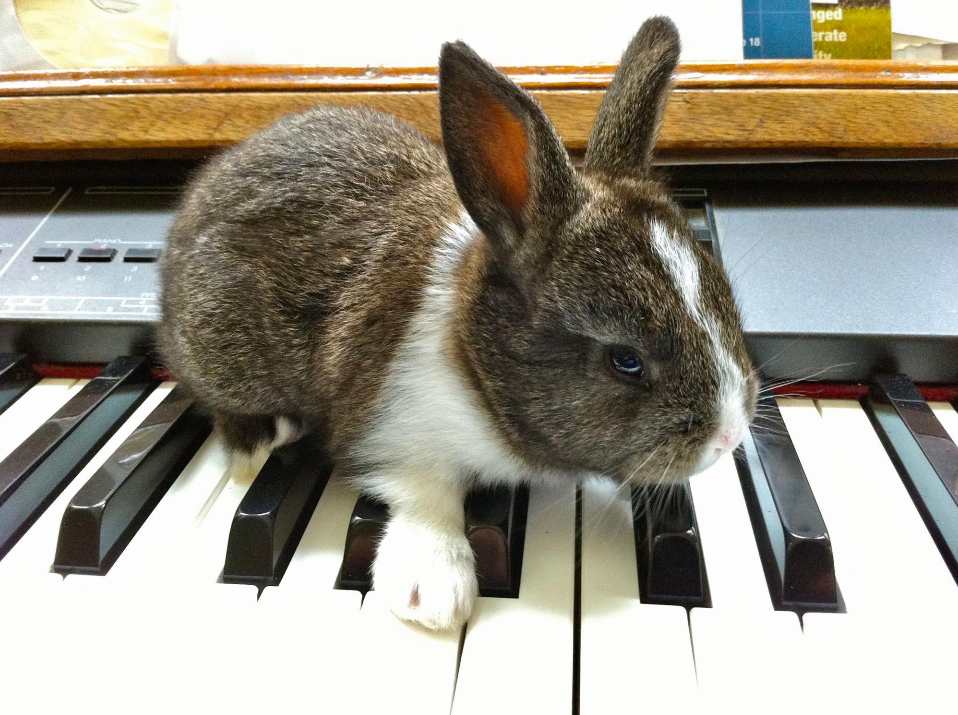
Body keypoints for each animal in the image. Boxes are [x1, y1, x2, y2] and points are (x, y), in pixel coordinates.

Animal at [159, 15, 756, 632]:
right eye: (626, 361)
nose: (729, 436)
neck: (475, 362)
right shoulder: (391, 429)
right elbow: (427, 493)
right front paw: (432, 593)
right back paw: (258, 450)